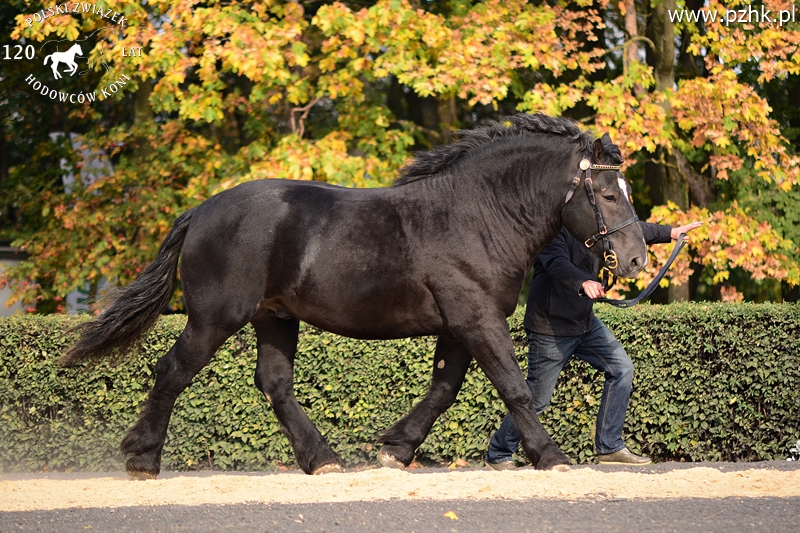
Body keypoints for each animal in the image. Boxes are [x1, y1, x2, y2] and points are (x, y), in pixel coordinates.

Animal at [64, 112, 648, 478]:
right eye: (606, 193)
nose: (638, 260)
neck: (478, 214)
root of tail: (202, 211)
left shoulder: (458, 325)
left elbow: (443, 391)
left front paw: (395, 449)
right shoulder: (477, 318)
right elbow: (515, 387)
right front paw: (551, 455)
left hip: (274, 317)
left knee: (274, 384)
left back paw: (321, 458)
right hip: (215, 318)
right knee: (172, 371)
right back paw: (142, 459)